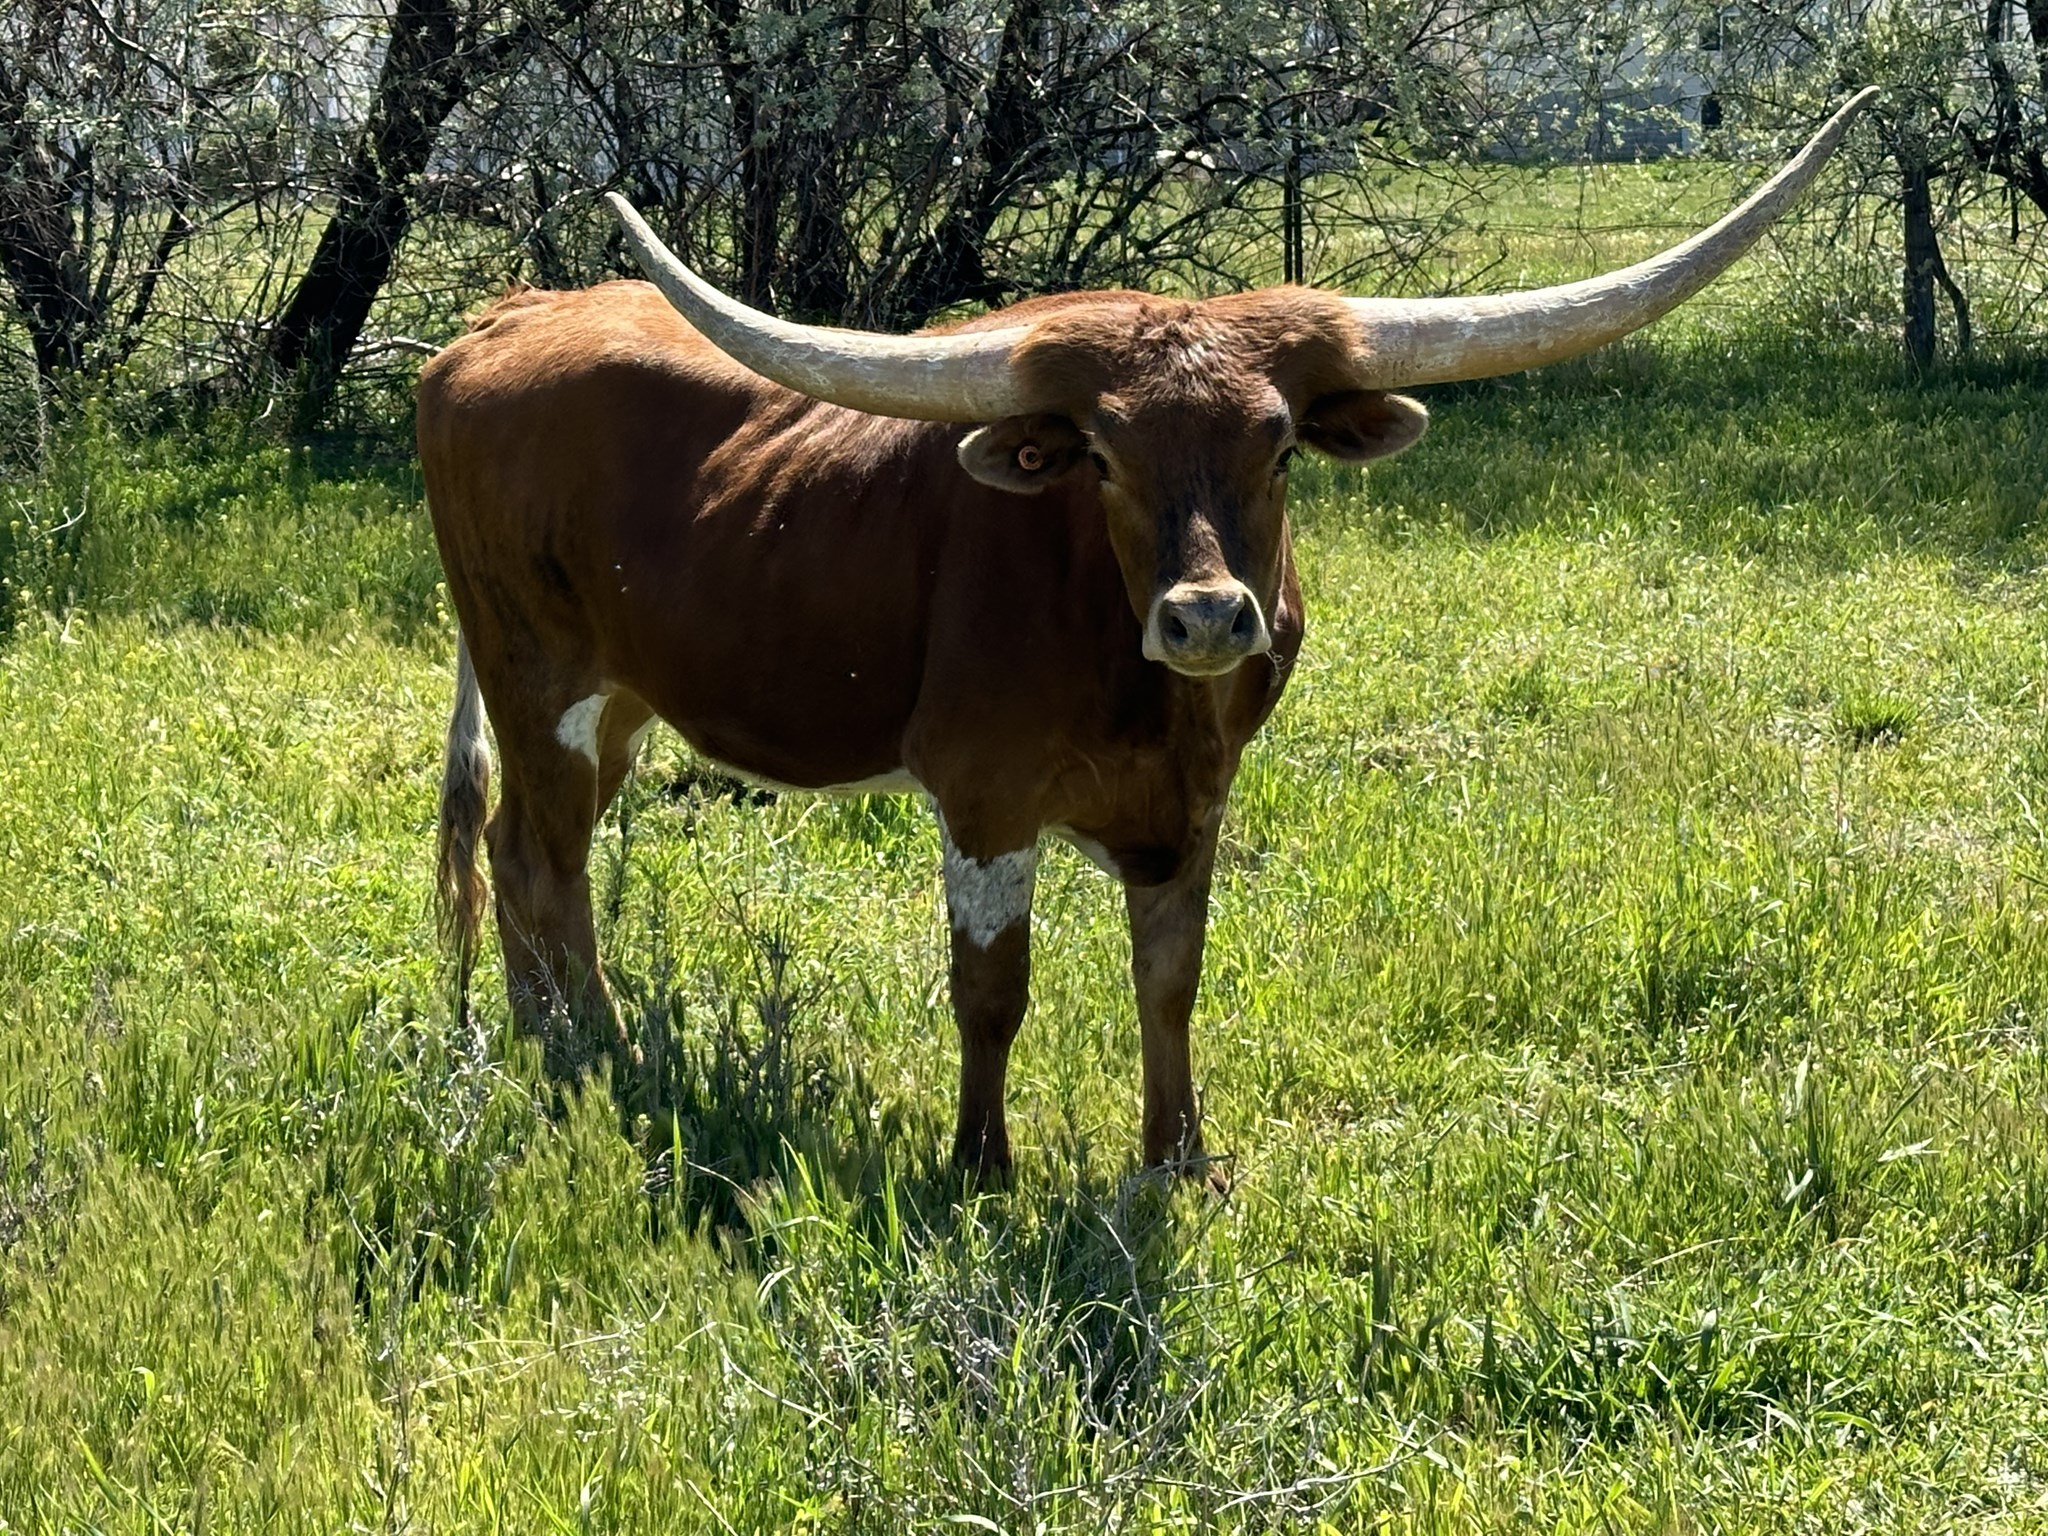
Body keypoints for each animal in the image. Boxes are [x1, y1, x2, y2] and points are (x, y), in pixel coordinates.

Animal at [418, 91, 1874, 1187]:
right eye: (1104, 457)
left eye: (1279, 444)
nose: (1208, 615)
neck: (1147, 692)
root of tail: (504, 320)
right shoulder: (985, 797)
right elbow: (992, 988)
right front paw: (981, 1170)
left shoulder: (1196, 801)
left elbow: (1168, 977)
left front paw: (1179, 1159)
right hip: (537, 676)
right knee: (541, 858)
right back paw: (588, 1051)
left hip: (614, 697)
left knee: (528, 850)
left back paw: (565, 1039)